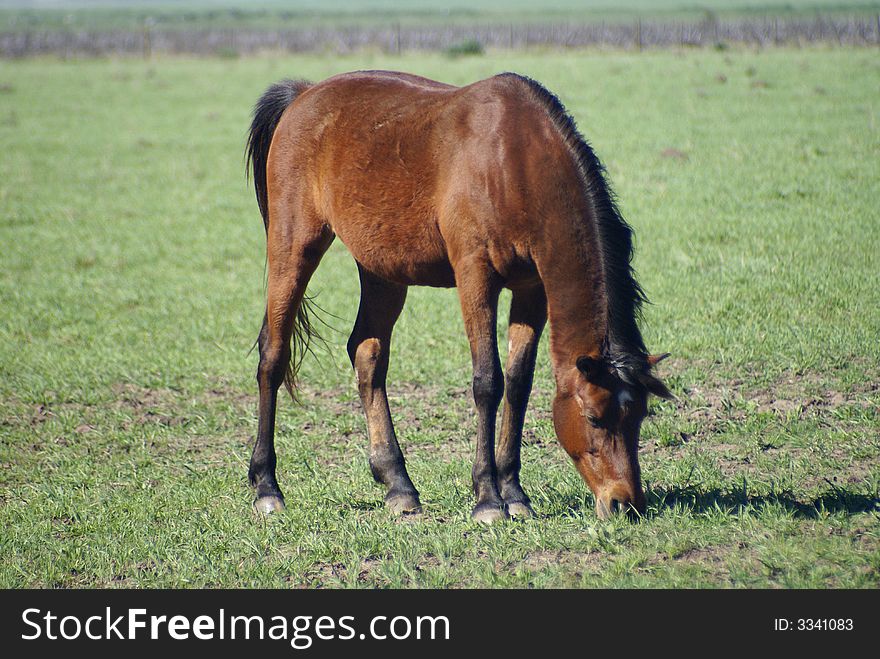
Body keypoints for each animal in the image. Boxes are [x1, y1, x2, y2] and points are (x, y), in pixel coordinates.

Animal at [244, 71, 672, 524]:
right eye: (593, 416)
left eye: (639, 415)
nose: (625, 503)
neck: (512, 160)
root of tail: (304, 94)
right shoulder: (475, 277)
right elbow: (488, 382)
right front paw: (488, 498)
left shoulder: (532, 291)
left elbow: (518, 385)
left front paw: (515, 494)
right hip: (294, 247)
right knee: (272, 357)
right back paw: (267, 487)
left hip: (382, 272)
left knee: (366, 353)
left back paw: (398, 485)